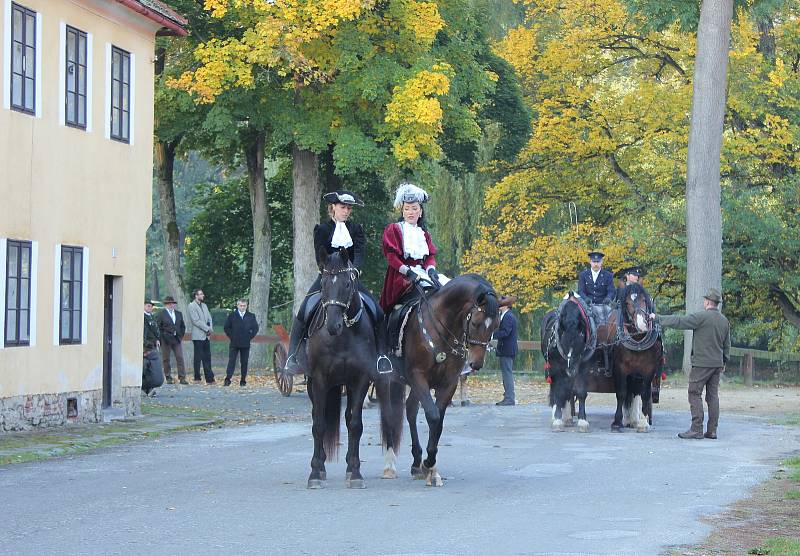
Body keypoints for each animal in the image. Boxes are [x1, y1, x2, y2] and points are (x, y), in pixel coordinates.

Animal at [282, 250, 390, 488]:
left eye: (348, 284)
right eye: (323, 283)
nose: (333, 325)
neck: (343, 337)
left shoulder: (359, 381)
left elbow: (355, 423)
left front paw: (355, 472)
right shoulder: (320, 380)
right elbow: (319, 424)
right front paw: (315, 473)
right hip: (315, 385)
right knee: (317, 416)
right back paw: (321, 467)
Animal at [378, 274, 496, 486]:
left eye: (496, 324)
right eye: (475, 323)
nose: (476, 364)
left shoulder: (448, 383)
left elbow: (438, 422)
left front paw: (430, 465)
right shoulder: (418, 377)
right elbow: (432, 416)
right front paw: (428, 464)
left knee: (410, 410)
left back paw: (416, 462)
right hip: (387, 379)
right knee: (389, 414)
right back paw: (390, 466)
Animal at [544, 294, 592, 432]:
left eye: (581, 336)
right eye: (563, 341)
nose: (571, 371)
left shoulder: (583, 367)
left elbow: (581, 392)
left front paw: (582, 421)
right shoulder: (557, 367)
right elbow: (559, 392)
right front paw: (558, 420)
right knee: (556, 390)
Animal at [612, 284, 664, 432]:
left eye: (644, 300)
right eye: (627, 303)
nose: (642, 325)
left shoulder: (649, 369)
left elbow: (645, 393)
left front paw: (643, 422)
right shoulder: (620, 368)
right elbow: (621, 393)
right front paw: (617, 422)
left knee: (635, 392)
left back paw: (634, 420)